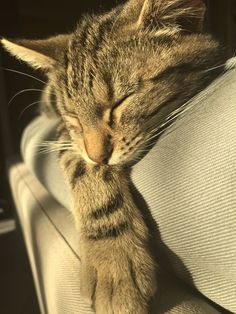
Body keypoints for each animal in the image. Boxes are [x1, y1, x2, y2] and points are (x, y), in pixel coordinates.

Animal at [1, 0, 227, 314]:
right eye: (74, 117)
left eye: (120, 102)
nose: (98, 156)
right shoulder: (66, 134)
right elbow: (86, 171)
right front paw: (111, 258)